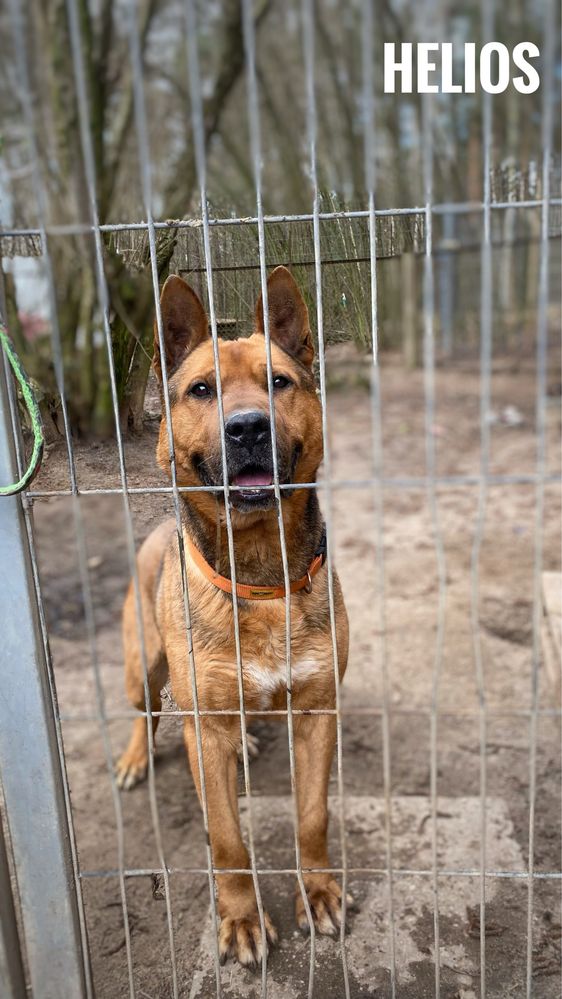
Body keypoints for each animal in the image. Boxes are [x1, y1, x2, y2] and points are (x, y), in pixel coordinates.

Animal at [116, 266, 348, 968]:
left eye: (279, 382)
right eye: (201, 390)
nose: (247, 428)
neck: (261, 578)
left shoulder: (317, 711)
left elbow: (311, 817)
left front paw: (318, 893)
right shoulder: (206, 735)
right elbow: (226, 840)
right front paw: (242, 921)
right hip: (144, 667)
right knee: (144, 713)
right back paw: (134, 759)